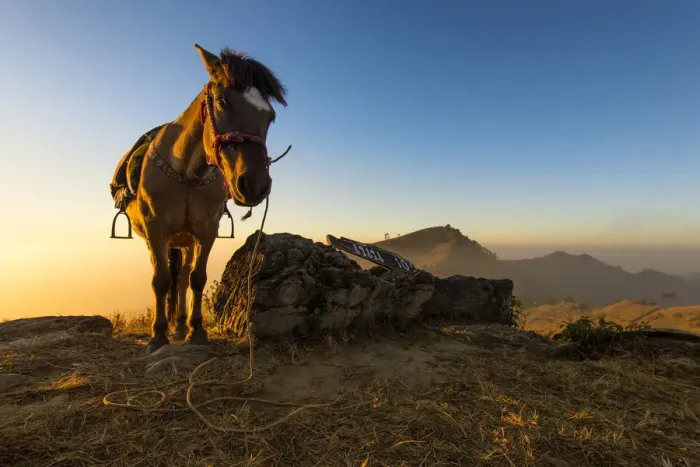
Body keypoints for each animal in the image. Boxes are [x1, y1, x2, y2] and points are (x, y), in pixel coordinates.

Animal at [111, 44, 287, 354]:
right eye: (222, 101)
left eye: (270, 116)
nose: (255, 185)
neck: (187, 173)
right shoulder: (156, 230)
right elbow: (160, 280)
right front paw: (157, 335)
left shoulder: (206, 231)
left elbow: (197, 278)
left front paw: (197, 331)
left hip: (186, 241)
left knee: (182, 280)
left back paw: (181, 326)